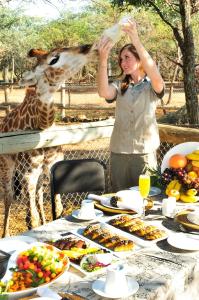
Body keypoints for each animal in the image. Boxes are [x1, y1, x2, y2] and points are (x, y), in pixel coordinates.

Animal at [0, 44, 97, 237]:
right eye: (54, 59)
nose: (87, 48)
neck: (42, 124)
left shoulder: (53, 165)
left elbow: (57, 209)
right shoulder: (28, 173)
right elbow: (32, 218)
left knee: (38, 195)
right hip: (7, 166)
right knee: (8, 197)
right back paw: (5, 234)